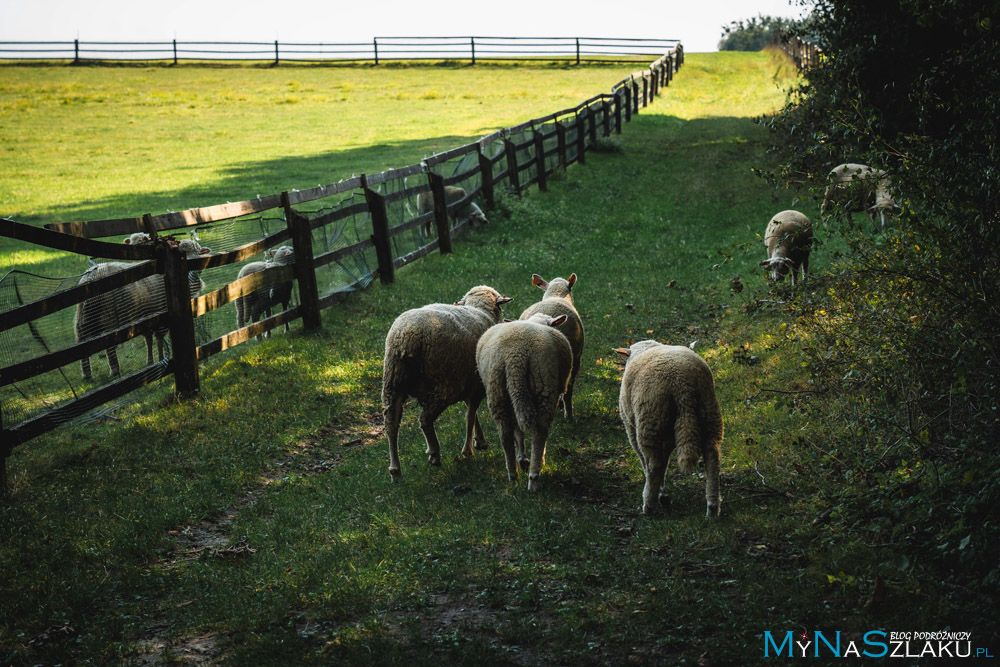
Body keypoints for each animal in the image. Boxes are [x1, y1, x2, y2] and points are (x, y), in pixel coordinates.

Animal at [74, 237, 209, 378]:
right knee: (108, 345)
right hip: (108, 315)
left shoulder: (148, 318)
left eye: (197, 252)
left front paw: (151, 362)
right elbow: (158, 339)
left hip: (84, 317)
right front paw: (160, 359)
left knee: (82, 343)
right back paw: (114, 370)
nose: (194, 273)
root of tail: (90, 277)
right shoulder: (160, 316)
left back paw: (87, 375)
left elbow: (149, 339)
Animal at [380, 284, 512, 478]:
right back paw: (434, 453)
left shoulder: (467, 380)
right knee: (425, 419)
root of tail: (407, 337)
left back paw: (395, 469)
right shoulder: (475, 384)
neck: (480, 310)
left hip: (393, 381)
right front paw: (469, 449)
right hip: (444, 384)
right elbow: (470, 414)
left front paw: (479, 440)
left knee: (391, 422)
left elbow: (471, 411)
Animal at [476, 314, 572, 490]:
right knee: (540, 433)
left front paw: (521, 458)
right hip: (544, 386)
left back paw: (513, 474)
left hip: (498, 392)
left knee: (506, 435)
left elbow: (517, 431)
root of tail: (516, 356)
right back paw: (534, 475)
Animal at [612, 342, 724, 520]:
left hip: (649, 422)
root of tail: (682, 383)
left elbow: (651, 463)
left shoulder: (632, 429)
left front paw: (660, 494)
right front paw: (662, 493)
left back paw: (648, 506)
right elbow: (665, 463)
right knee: (712, 456)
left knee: (654, 465)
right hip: (709, 411)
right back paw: (712, 509)